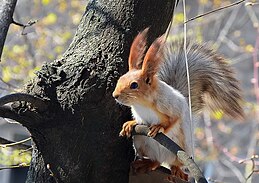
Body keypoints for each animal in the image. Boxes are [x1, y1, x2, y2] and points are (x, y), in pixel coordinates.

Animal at [112, 29, 245, 181]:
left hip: (181, 151)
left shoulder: (171, 105)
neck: (142, 105)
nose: (115, 95)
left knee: (174, 163)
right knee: (156, 162)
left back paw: (177, 171)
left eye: (134, 85)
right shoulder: (139, 115)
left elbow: (173, 119)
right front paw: (130, 124)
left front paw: (158, 127)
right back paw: (145, 164)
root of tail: (163, 157)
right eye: (120, 79)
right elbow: (139, 121)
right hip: (142, 143)